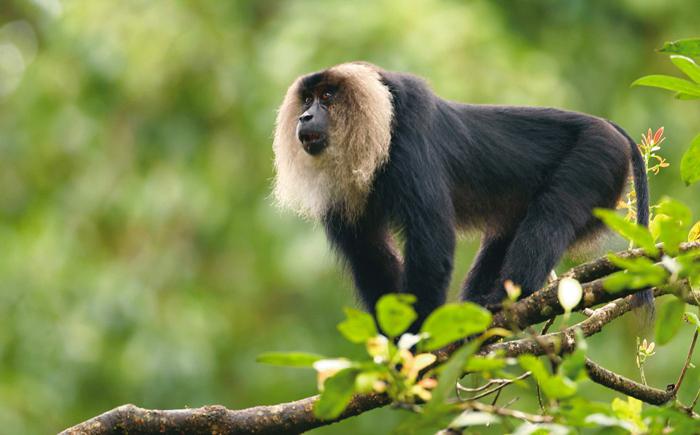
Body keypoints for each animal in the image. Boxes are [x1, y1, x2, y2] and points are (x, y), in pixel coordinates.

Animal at [272, 62, 652, 328]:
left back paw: (503, 298)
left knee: (552, 214)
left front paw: (417, 342)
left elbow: (431, 249)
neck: (379, 132)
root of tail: (609, 127)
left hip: (597, 155)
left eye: (327, 97)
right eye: (307, 99)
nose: (305, 116)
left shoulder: (409, 143)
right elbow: (370, 255)